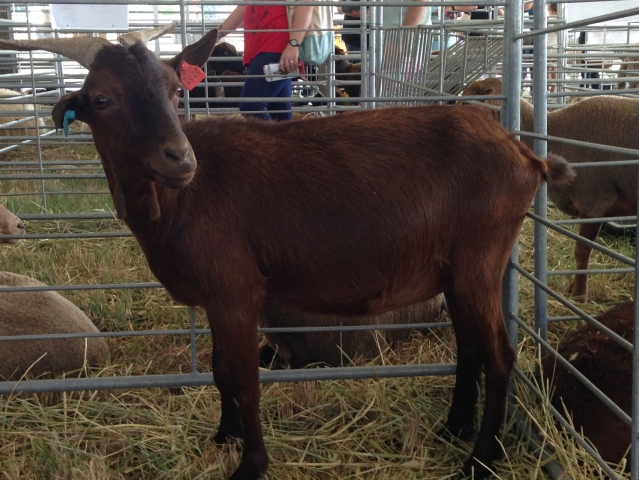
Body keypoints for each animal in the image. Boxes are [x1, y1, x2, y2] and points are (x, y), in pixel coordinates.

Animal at [0, 24, 576, 478]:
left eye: (173, 89)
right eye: (101, 99)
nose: (179, 158)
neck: (182, 199)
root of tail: (524, 154)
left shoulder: (236, 291)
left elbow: (244, 381)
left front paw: (250, 465)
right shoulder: (219, 297)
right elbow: (218, 371)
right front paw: (224, 438)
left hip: (482, 258)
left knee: (499, 355)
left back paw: (480, 460)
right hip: (457, 270)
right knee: (470, 348)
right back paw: (453, 429)